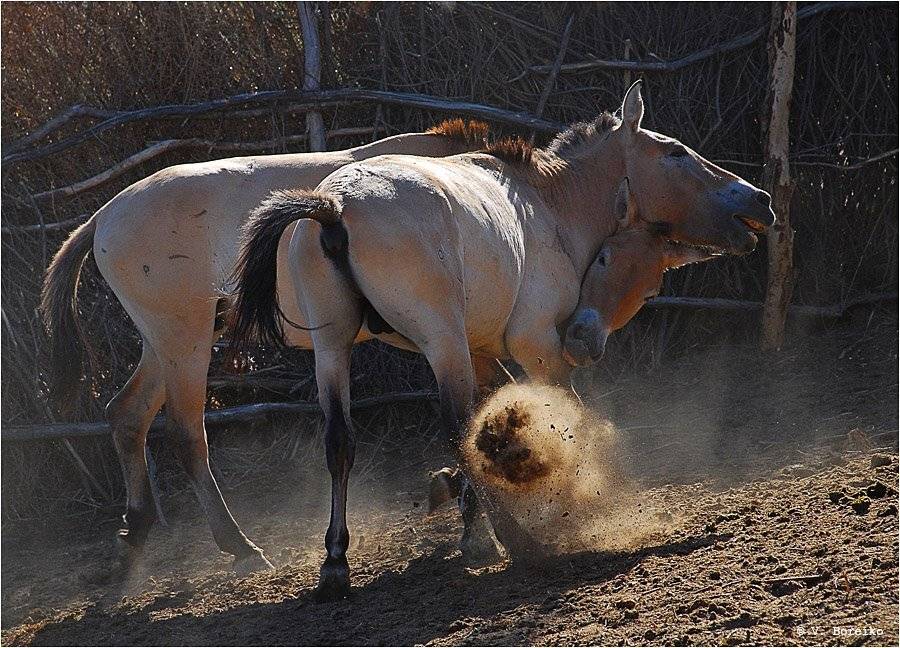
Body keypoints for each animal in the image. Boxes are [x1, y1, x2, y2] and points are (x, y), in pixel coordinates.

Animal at [39, 119, 495, 574]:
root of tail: (103, 217)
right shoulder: (442, 335)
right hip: (184, 344)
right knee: (187, 435)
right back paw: (240, 546)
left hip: (166, 345)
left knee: (127, 414)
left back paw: (134, 530)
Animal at [229, 81, 775, 599]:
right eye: (676, 152)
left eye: (649, 286)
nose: (761, 199)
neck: (550, 204)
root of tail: (334, 206)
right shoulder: (537, 347)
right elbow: (568, 416)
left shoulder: (482, 352)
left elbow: (495, 418)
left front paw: (472, 526)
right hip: (441, 341)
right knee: (457, 429)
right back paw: (519, 540)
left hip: (335, 347)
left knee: (341, 441)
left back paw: (336, 564)